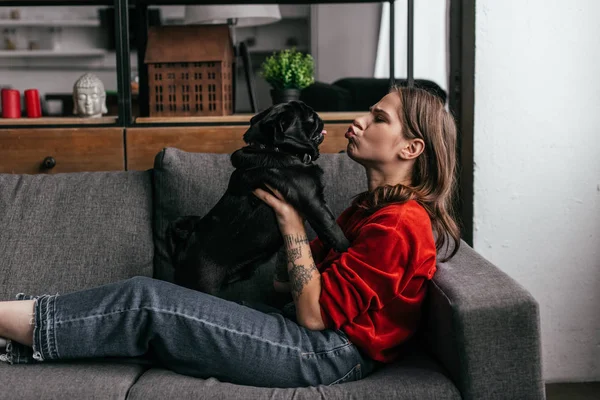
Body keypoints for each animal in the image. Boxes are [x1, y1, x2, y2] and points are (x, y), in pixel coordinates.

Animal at [166, 101, 350, 296]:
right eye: (309, 115)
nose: (318, 115)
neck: (275, 148)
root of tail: (180, 254)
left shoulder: (312, 207)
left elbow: (324, 232)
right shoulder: (313, 201)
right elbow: (332, 227)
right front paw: (347, 248)